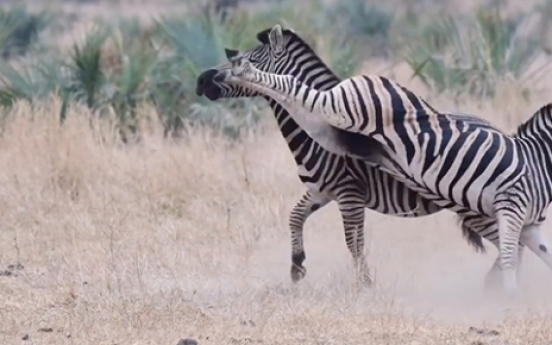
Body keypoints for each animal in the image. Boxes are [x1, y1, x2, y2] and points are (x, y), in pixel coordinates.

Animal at [211, 24, 552, 292]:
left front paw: (364, 285)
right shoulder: (322, 191)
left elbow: (354, 241)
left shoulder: (348, 191)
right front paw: (297, 267)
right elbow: (296, 216)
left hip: (472, 206)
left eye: (252, 56)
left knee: (512, 242)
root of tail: (502, 133)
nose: (204, 80)